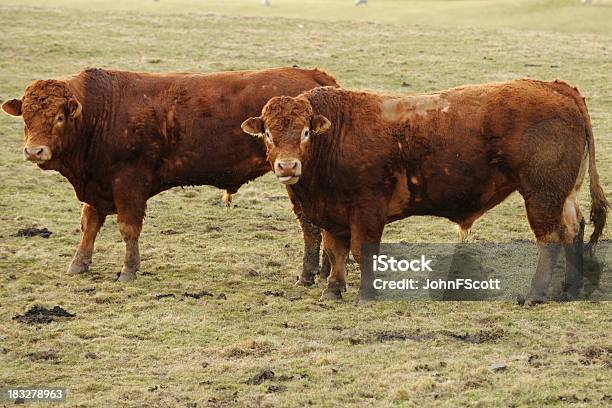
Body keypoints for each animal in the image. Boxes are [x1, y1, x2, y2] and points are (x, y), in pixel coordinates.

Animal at [1, 67, 340, 284]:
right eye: (27, 116)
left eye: (59, 116)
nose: (34, 151)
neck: (101, 113)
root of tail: (314, 78)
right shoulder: (98, 183)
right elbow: (90, 226)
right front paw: (78, 264)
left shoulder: (128, 185)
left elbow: (128, 229)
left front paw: (128, 271)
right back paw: (324, 271)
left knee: (309, 225)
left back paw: (308, 275)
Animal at [241, 80, 608, 302]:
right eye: (268, 135)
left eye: (305, 132)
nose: (287, 166)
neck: (336, 135)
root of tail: (554, 87)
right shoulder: (333, 213)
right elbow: (335, 252)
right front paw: (332, 290)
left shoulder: (366, 209)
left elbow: (362, 251)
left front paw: (366, 295)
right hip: (564, 195)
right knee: (573, 230)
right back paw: (571, 289)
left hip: (541, 195)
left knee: (550, 239)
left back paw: (535, 294)